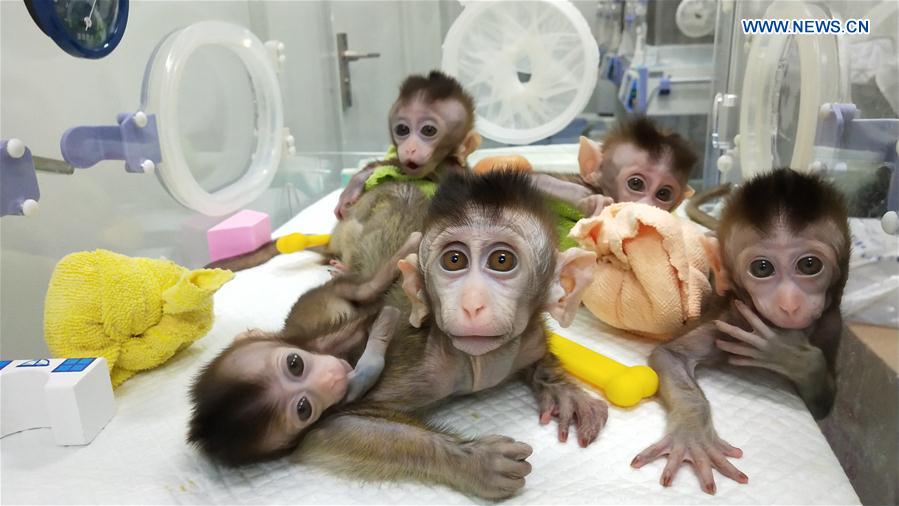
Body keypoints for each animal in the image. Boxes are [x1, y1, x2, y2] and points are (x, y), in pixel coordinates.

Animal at [188, 232, 421, 466]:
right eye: (303, 409)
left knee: (365, 288)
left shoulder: (319, 340)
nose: (331, 379)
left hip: (329, 290)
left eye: (294, 363)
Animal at [630, 169, 851, 495]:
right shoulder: (732, 320)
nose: (790, 304)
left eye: (810, 264)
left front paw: (789, 354)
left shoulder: (832, 322)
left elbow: (823, 403)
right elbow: (670, 355)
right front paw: (692, 433)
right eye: (762, 268)